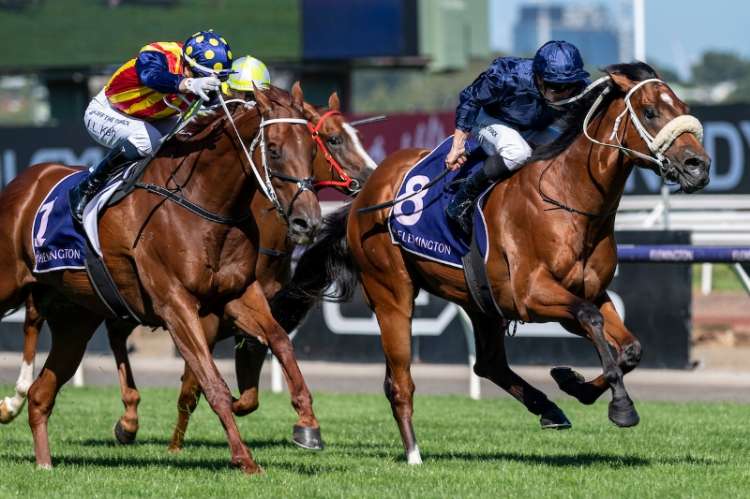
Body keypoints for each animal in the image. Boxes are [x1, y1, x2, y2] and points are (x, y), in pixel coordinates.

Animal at [0, 92, 376, 453]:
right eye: (332, 140)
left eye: (311, 147)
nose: (307, 221)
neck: (206, 205)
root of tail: (30, 177)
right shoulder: (183, 307)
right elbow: (197, 384)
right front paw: (180, 444)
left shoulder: (239, 298)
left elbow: (276, 345)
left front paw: (305, 423)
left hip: (83, 304)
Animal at [268, 63, 711, 464]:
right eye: (650, 111)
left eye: (683, 106)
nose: (699, 166)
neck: (569, 200)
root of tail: (366, 192)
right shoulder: (533, 295)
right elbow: (592, 321)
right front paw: (620, 405)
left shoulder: (589, 292)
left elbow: (629, 346)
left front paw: (575, 383)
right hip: (391, 292)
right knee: (400, 381)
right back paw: (414, 453)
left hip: (479, 301)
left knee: (488, 362)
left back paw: (548, 408)